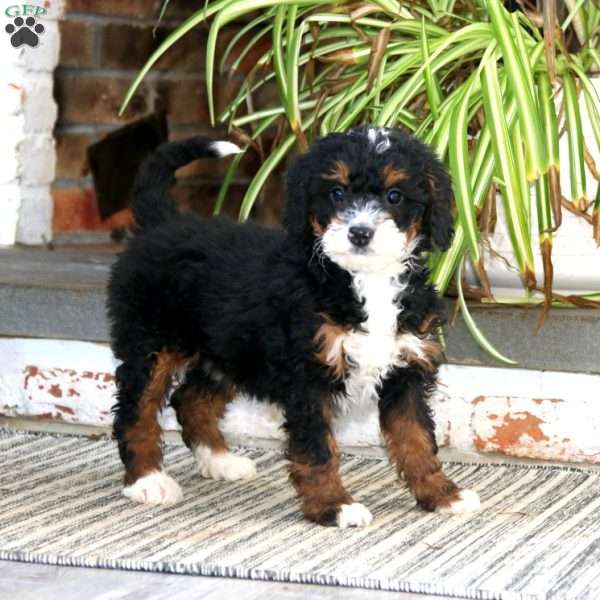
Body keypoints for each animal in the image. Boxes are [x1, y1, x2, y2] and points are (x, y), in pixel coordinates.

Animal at [109, 125, 482, 524]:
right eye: (336, 192)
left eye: (394, 196)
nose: (360, 232)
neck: (361, 281)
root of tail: (163, 223)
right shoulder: (308, 376)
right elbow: (317, 448)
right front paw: (333, 505)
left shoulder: (406, 370)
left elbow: (417, 439)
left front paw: (441, 494)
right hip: (151, 343)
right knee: (135, 409)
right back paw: (147, 480)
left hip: (227, 350)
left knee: (191, 400)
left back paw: (220, 461)